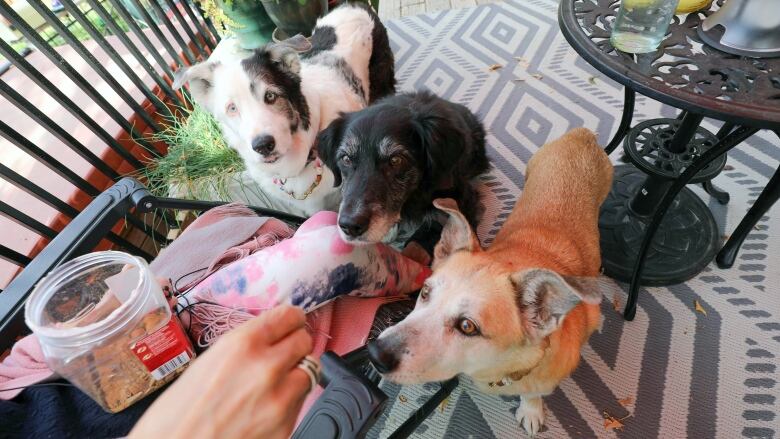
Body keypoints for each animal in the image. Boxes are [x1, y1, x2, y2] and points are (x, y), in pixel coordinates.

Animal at [368, 128, 620, 436]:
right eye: (425, 292)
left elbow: (533, 393)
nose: (375, 354)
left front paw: (531, 409)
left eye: (467, 326)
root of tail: (582, 134)